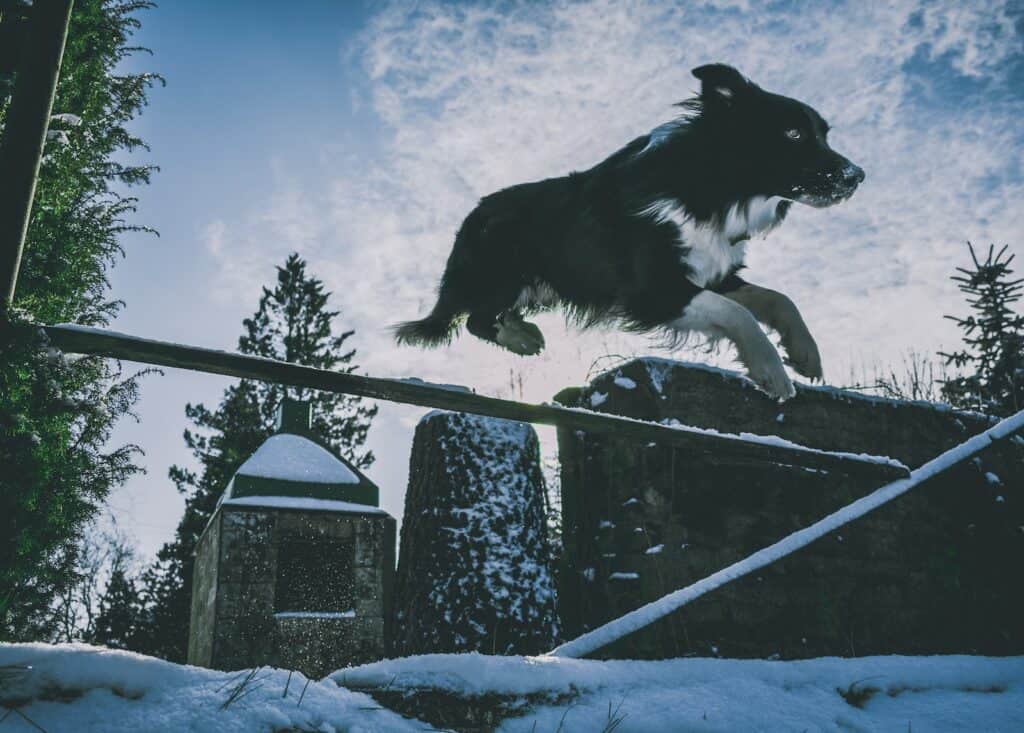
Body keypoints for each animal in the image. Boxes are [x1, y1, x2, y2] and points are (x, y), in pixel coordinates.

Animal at [395, 62, 860, 401]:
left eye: (823, 134)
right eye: (793, 133)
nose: (858, 176)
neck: (711, 188)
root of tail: (471, 217)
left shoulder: (711, 270)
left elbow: (776, 298)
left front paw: (805, 353)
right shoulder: (653, 291)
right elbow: (737, 312)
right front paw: (771, 371)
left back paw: (522, 331)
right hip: (504, 272)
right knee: (475, 318)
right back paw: (522, 338)